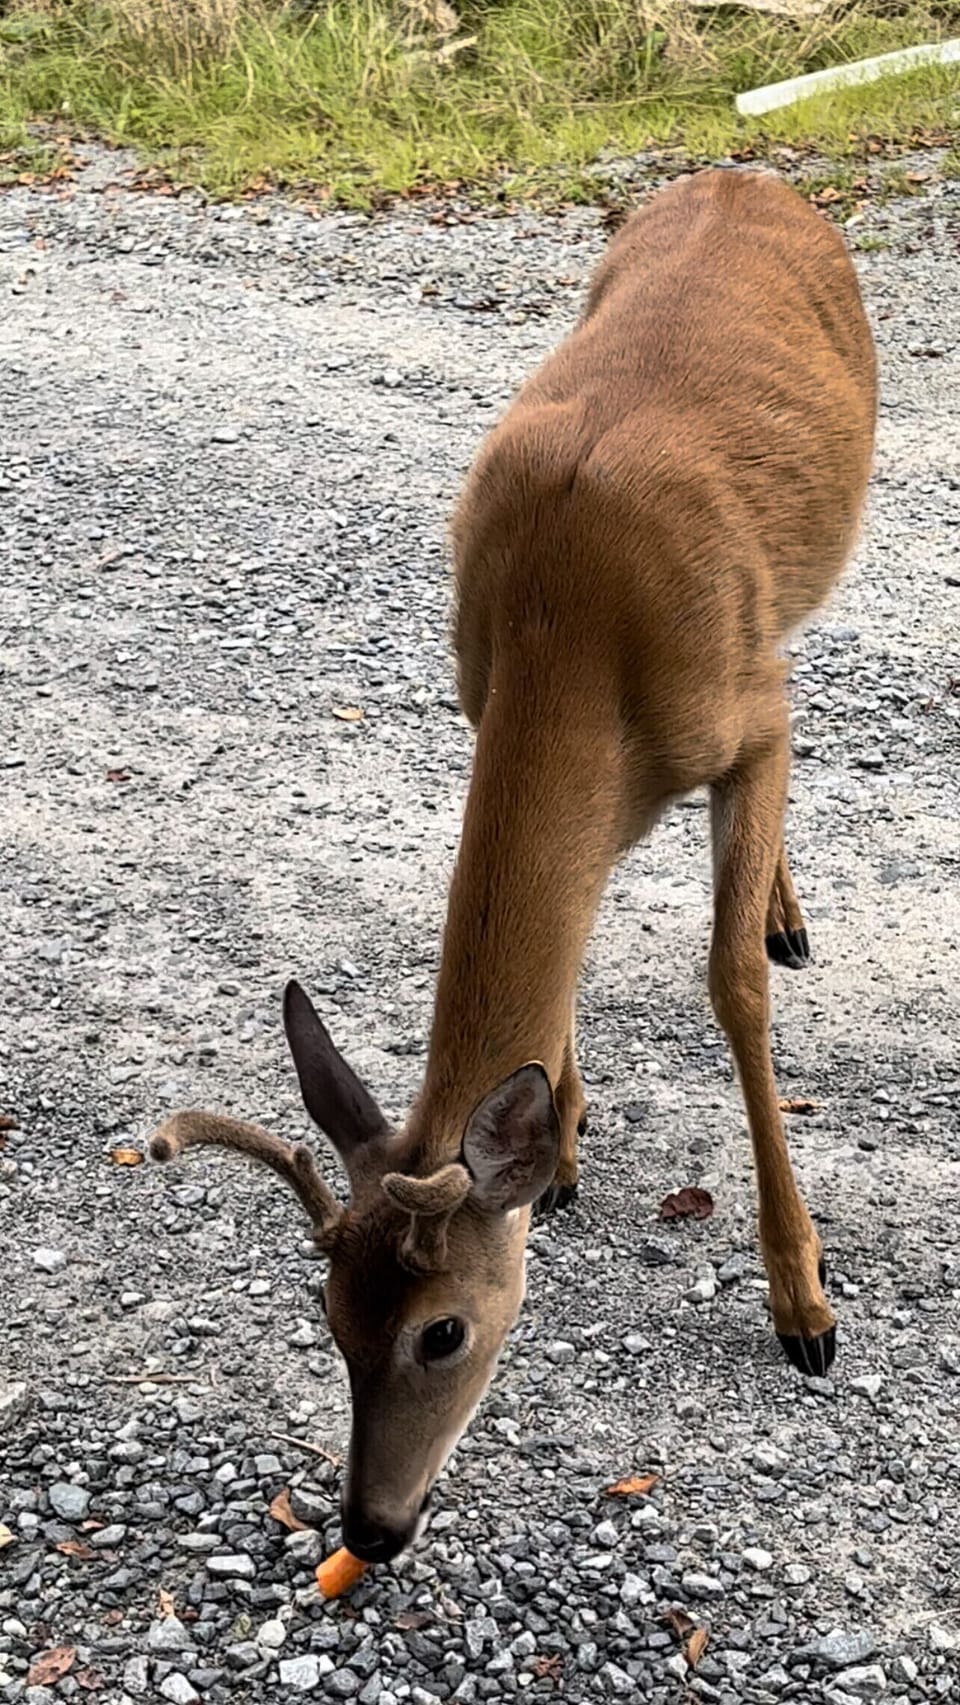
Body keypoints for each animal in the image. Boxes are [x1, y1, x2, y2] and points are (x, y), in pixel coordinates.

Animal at [148, 168, 877, 1566]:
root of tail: (744, 172)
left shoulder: (751, 709)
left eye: (445, 1330)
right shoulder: (486, 702)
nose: (372, 1527)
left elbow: (731, 988)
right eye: (328, 1316)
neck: (573, 631)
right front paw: (570, 1142)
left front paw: (806, 1303)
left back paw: (786, 914)